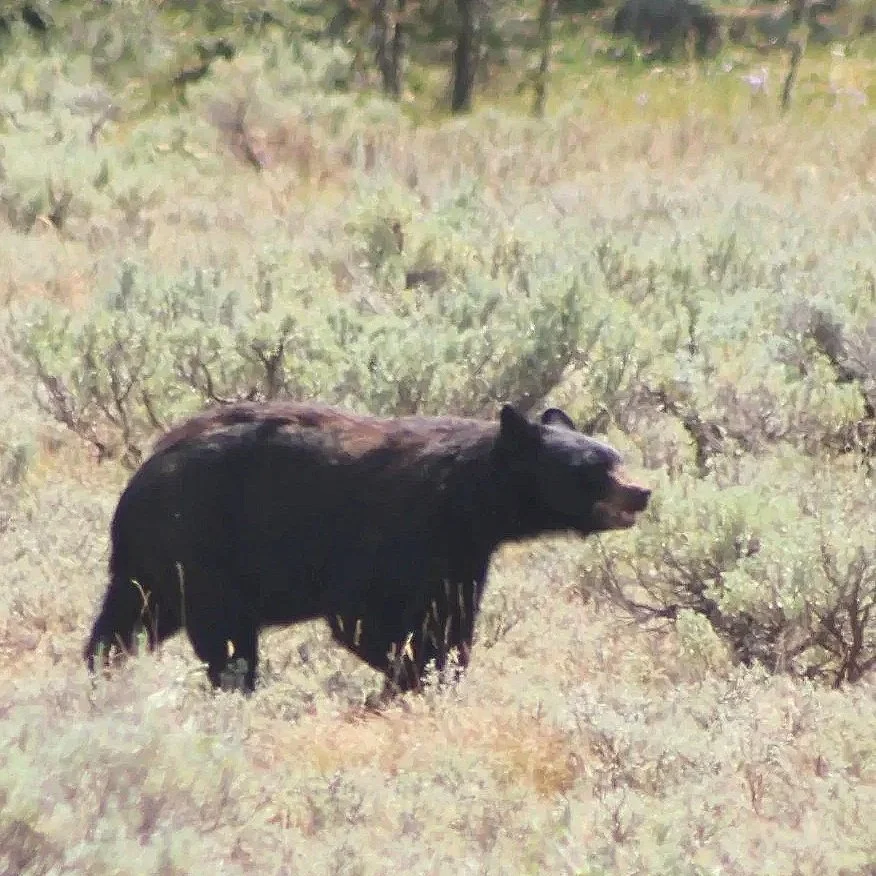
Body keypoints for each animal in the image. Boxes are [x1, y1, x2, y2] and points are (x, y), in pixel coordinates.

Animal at [84, 401, 651, 696]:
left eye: (615, 456)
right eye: (591, 469)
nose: (641, 492)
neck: (466, 501)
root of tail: (142, 473)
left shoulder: (459, 553)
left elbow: (451, 616)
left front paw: (442, 673)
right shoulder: (394, 535)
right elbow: (366, 619)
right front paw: (413, 678)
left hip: (155, 564)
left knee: (127, 619)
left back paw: (103, 675)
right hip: (202, 547)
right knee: (224, 638)